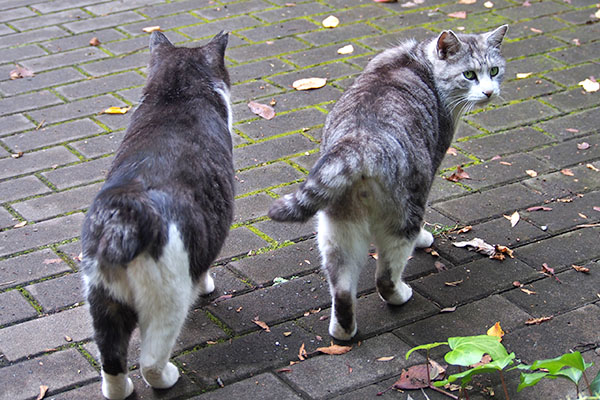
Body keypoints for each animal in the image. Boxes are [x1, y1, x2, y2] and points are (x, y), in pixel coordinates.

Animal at [81, 32, 234, 400]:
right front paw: (207, 286)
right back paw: (167, 377)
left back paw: (120, 390)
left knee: (111, 358)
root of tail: (122, 219)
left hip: (102, 300)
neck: (174, 96)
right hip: (167, 299)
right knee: (150, 360)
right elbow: (205, 267)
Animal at [270, 25, 508, 340]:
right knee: (385, 275)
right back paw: (400, 294)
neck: (420, 61)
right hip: (404, 211)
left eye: (494, 70)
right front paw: (425, 238)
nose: (489, 91)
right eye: (469, 74)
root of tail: (360, 143)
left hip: (337, 228)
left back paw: (343, 331)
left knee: (342, 287)